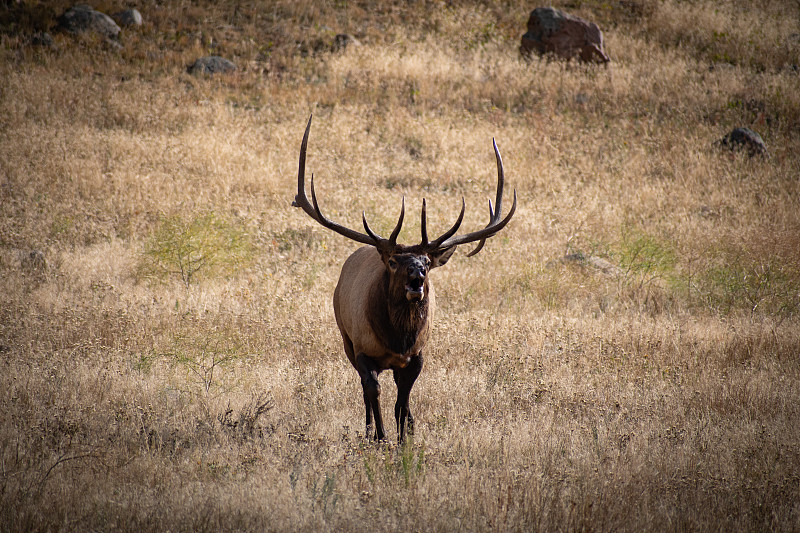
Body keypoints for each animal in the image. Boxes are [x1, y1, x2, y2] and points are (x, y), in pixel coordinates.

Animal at [290, 115, 516, 440]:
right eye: (394, 261)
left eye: (428, 262)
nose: (417, 272)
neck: (397, 341)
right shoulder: (361, 348)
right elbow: (373, 391)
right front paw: (381, 436)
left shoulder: (417, 355)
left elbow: (402, 400)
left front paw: (406, 436)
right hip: (345, 338)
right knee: (365, 390)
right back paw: (369, 431)